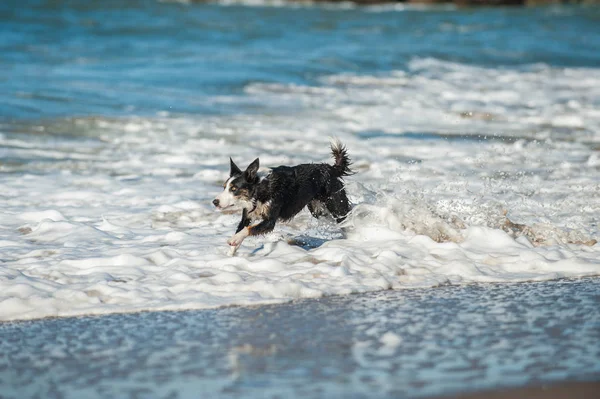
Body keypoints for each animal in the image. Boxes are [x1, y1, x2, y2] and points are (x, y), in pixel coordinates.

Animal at [213, 141, 354, 256]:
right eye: (224, 187)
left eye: (233, 189)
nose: (215, 202)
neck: (260, 190)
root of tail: (330, 168)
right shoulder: (247, 215)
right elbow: (241, 228)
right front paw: (230, 255)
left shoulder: (270, 221)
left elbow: (247, 230)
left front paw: (234, 239)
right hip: (317, 210)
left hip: (337, 205)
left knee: (345, 218)